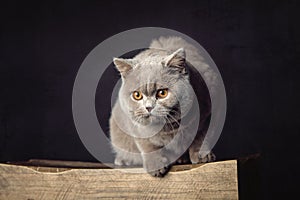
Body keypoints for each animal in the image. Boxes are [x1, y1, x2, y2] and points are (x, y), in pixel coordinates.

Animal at [109, 36, 216, 177]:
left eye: (162, 93)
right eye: (137, 95)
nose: (149, 107)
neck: (169, 127)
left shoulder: (208, 112)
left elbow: (201, 135)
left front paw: (202, 155)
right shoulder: (134, 124)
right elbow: (147, 145)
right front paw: (156, 166)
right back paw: (124, 160)